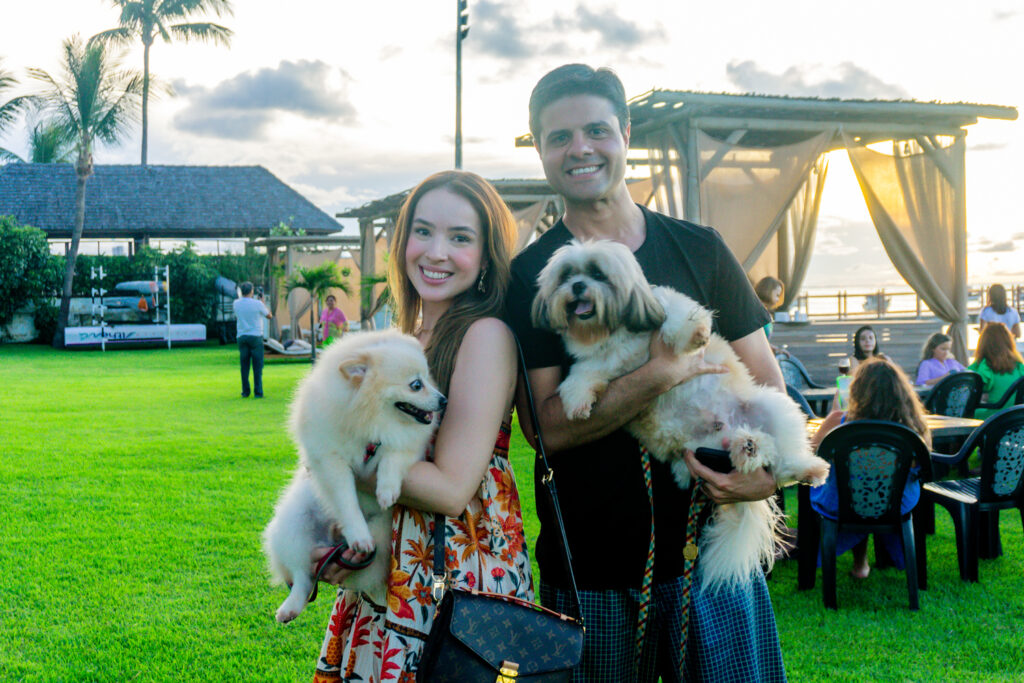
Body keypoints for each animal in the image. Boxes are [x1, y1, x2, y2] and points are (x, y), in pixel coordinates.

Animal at [260, 327, 444, 622]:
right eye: (416, 385)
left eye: (428, 377)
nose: (443, 400)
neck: (369, 419)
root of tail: (332, 539)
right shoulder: (330, 460)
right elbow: (346, 500)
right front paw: (358, 534)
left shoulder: (409, 446)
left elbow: (393, 456)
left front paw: (386, 490)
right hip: (296, 524)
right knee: (302, 575)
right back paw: (290, 607)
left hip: (382, 531)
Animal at [532, 241, 827, 593]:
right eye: (566, 276)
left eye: (597, 274)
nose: (577, 286)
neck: (613, 332)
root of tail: (727, 430)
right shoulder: (597, 362)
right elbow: (582, 375)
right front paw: (577, 402)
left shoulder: (664, 306)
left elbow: (676, 316)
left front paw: (695, 332)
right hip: (698, 452)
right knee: (759, 456)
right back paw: (746, 449)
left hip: (774, 408)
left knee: (780, 465)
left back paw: (802, 466)